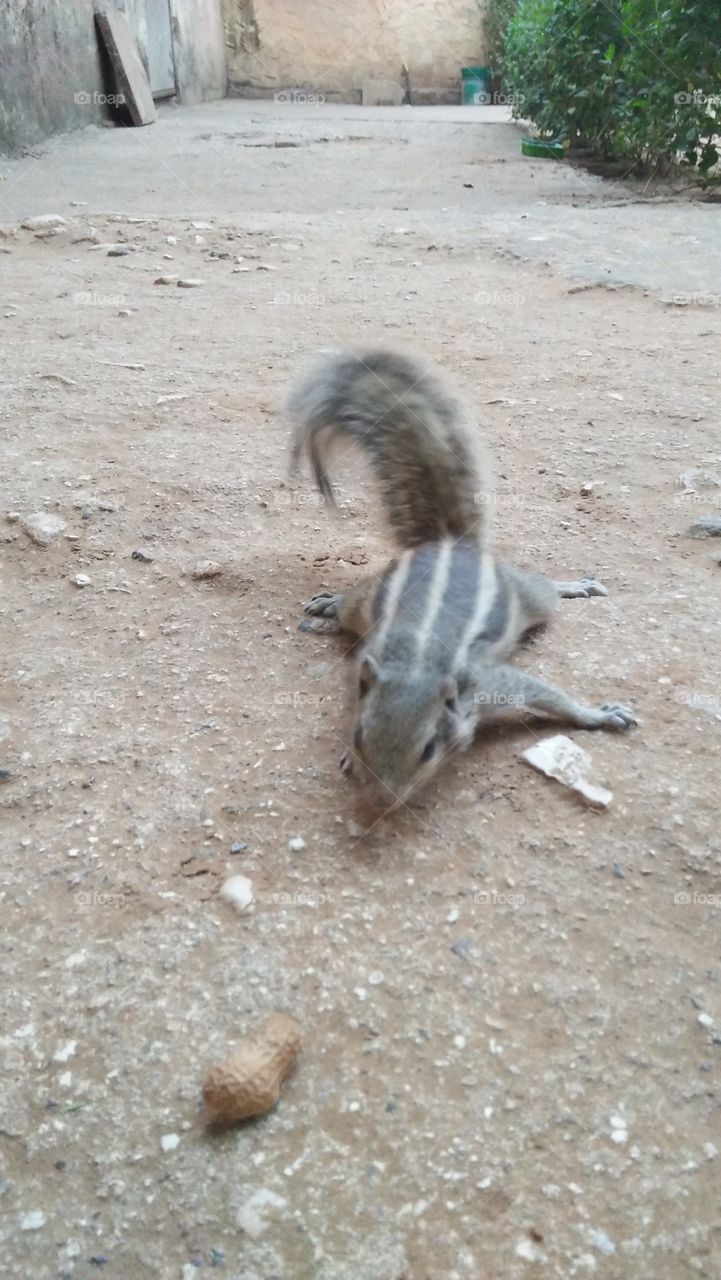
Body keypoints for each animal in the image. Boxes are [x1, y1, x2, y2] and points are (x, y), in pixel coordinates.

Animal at [289, 347, 638, 812]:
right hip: (363, 604)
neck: (418, 662)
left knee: (543, 590)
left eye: (428, 750)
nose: (382, 802)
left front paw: (599, 714)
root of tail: (450, 543)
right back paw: (330, 602)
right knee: (350, 604)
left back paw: (573, 586)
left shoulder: (494, 683)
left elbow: (551, 696)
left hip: (530, 599)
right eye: (359, 736)